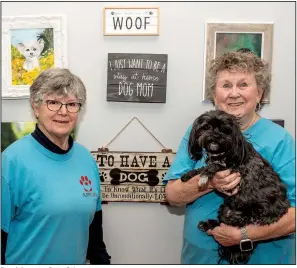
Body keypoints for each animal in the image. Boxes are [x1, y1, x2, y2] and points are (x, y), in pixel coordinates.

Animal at [180, 110, 290, 264]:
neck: (222, 152)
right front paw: (189, 174)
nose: (215, 137)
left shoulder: (236, 169)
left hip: (244, 216)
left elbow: (213, 166)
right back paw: (208, 224)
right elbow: (202, 168)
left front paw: (204, 176)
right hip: (224, 209)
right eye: (207, 127)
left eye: (225, 129)